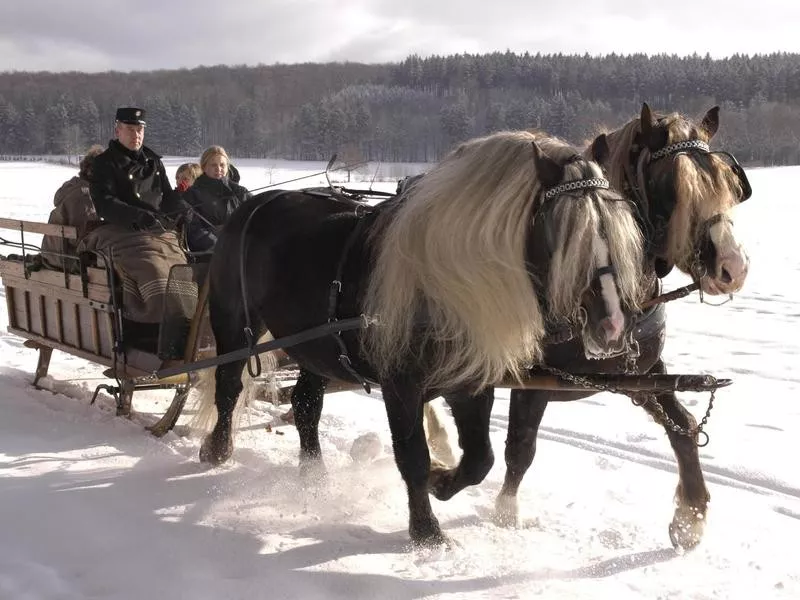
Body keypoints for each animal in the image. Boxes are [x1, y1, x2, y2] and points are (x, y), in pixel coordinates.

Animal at [198, 129, 644, 548]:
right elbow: (412, 456)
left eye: (617, 226)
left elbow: (480, 459)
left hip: (318, 347)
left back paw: (314, 477)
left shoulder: (469, 383)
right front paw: (427, 531)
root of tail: (254, 204)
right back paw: (217, 449)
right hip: (234, 323)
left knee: (306, 404)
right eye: (563, 232)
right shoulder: (401, 385)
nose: (612, 327)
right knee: (228, 384)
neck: (441, 286)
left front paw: (441, 482)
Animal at [466, 103, 752, 552]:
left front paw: (690, 516)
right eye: (672, 186)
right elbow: (521, 447)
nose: (733, 267)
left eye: (728, 181)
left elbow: (684, 427)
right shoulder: (535, 380)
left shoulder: (642, 373)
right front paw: (505, 515)